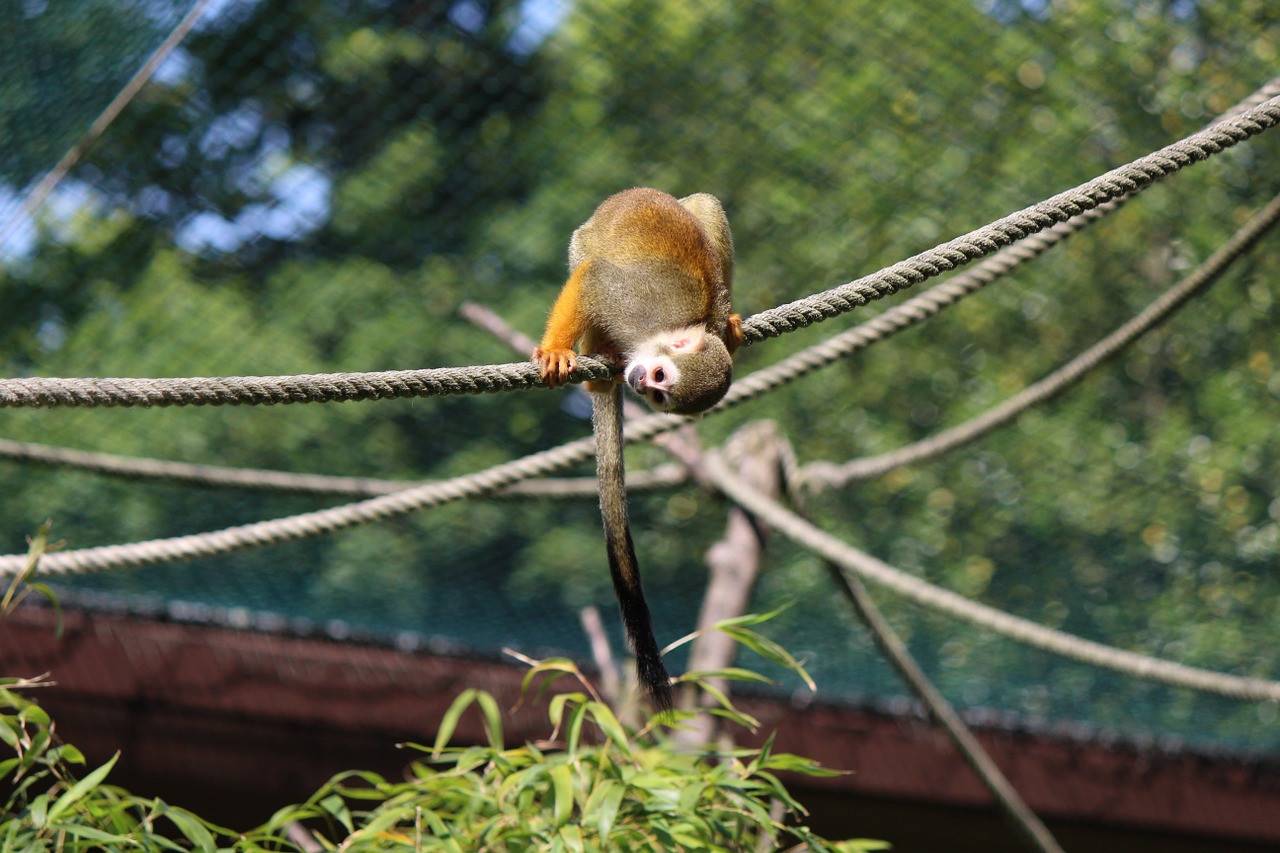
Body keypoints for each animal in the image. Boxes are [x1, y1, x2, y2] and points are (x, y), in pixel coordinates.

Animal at [535, 188, 747, 712]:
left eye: (660, 394)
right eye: (658, 378)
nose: (638, 383)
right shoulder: (631, 305)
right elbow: (595, 278)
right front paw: (558, 349)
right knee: (588, 255)